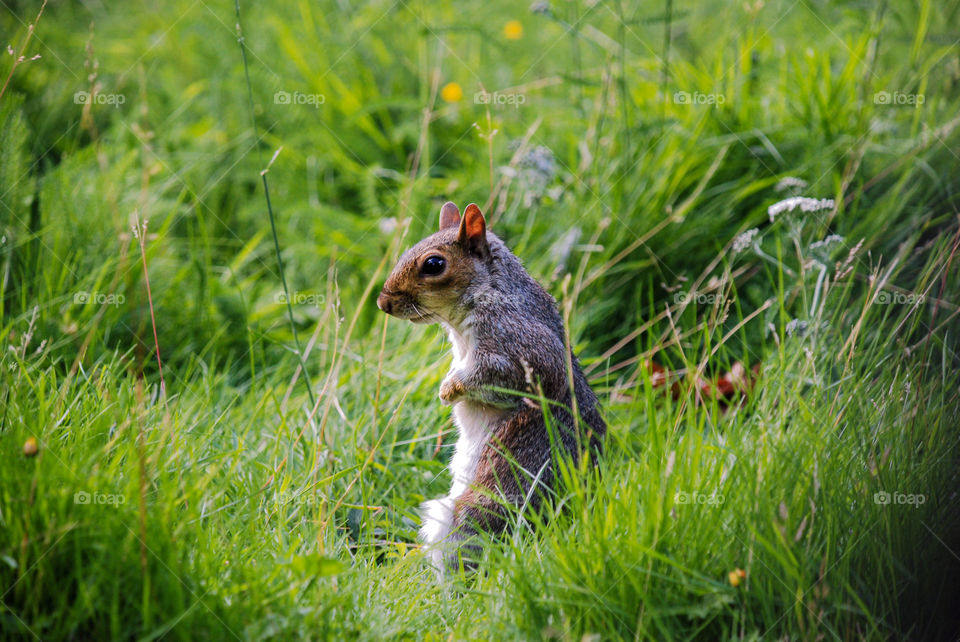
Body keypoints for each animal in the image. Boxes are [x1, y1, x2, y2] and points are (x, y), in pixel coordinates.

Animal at [378, 201, 604, 568]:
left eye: (434, 264)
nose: (383, 303)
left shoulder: (520, 344)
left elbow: (492, 375)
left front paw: (449, 390)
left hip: (480, 508)